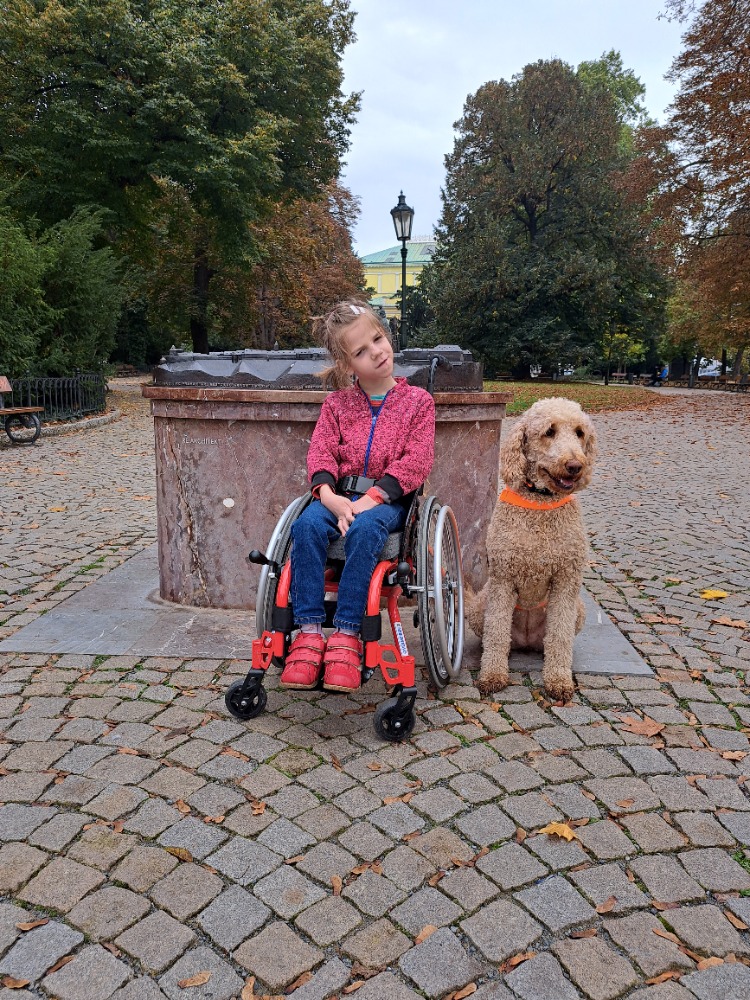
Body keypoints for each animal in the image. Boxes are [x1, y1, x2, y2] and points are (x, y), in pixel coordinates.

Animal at [468, 397, 597, 702]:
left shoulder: (566, 581)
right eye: (549, 431)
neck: (540, 503)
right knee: (498, 636)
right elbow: (496, 633)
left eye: (580, 433)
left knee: (550, 641)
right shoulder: (503, 579)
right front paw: (492, 675)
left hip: (578, 609)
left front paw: (559, 680)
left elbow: (559, 637)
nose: (575, 465)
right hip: (479, 606)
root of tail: (526, 642)